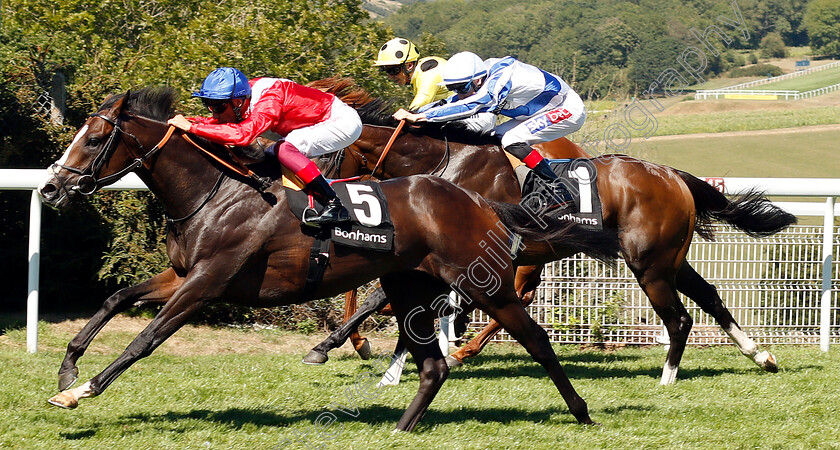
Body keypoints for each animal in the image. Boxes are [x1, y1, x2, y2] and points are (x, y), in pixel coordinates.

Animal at [37, 87, 624, 428]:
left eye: (93, 139)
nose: (48, 189)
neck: (214, 191)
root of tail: (480, 199)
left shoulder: (208, 281)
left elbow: (146, 338)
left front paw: (82, 391)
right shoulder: (183, 273)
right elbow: (117, 297)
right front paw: (67, 369)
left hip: (486, 284)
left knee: (535, 339)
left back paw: (581, 412)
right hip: (410, 286)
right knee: (432, 363)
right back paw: (400, 426)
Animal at [306, 78, 796, 384]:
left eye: (327, 154)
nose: (318, 204)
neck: (448, 163)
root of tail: (670, 174)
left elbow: (380, 299)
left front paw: (336, 346)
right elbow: (387, 299)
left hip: (649, 264)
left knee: (679, 317)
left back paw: (667, 378)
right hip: (669, 258)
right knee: (710, 296)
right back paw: (761, 356)